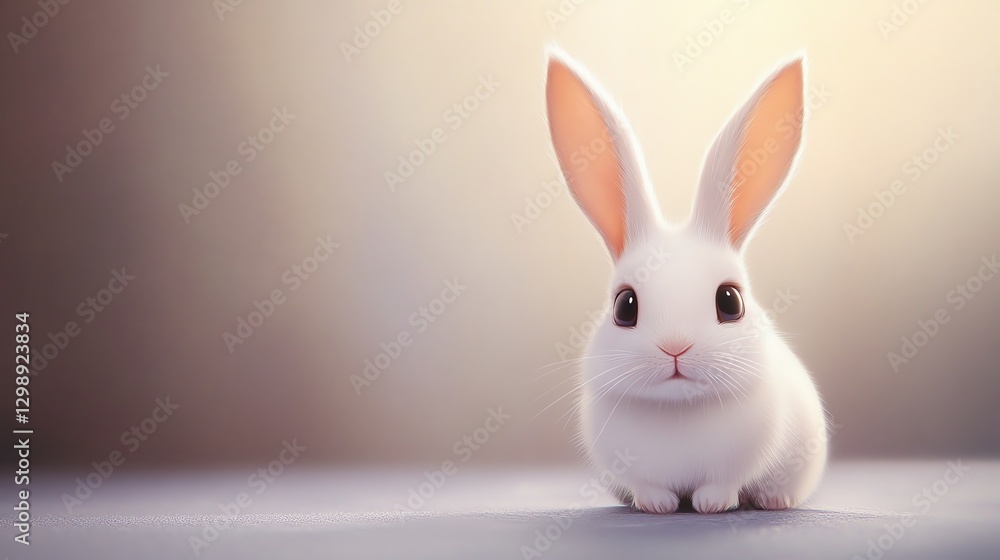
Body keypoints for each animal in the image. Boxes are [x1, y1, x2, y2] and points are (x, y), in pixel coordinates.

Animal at [544, 48, 828, 514]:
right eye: (625, 306)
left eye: (730, 302)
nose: (675, 347)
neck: (680, 409)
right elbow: (646, 485)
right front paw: (656, 505)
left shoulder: (745, 457)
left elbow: (725, 482)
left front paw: (712, 504)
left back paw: (776, 499)